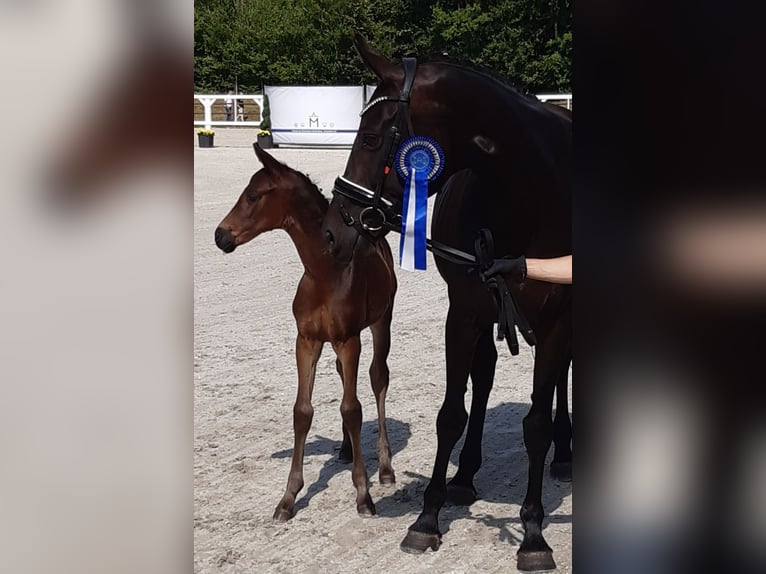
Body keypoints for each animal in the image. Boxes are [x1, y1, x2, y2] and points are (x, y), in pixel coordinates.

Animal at [215, 144, 398, 520]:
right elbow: (303, 412)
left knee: (378, 378)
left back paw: (385, 468)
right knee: (344, 376)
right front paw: (288, 498)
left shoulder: (349, 340)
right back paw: (345, 448)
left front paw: (363, 493)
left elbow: (353, 409)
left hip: (381, 322)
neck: (325, 272)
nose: (219, 235)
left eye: (252, 196)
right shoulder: (307, 341)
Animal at [320, 36, 571, 572]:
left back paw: (564, 453)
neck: (530, 196)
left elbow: (536, 424)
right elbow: (451, 413)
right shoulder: (467, 312)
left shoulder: (558, 320)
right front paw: (427, 518)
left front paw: (533, 533)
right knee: (486, 374)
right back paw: (465, 476)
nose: (333, 231)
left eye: (370, 138)